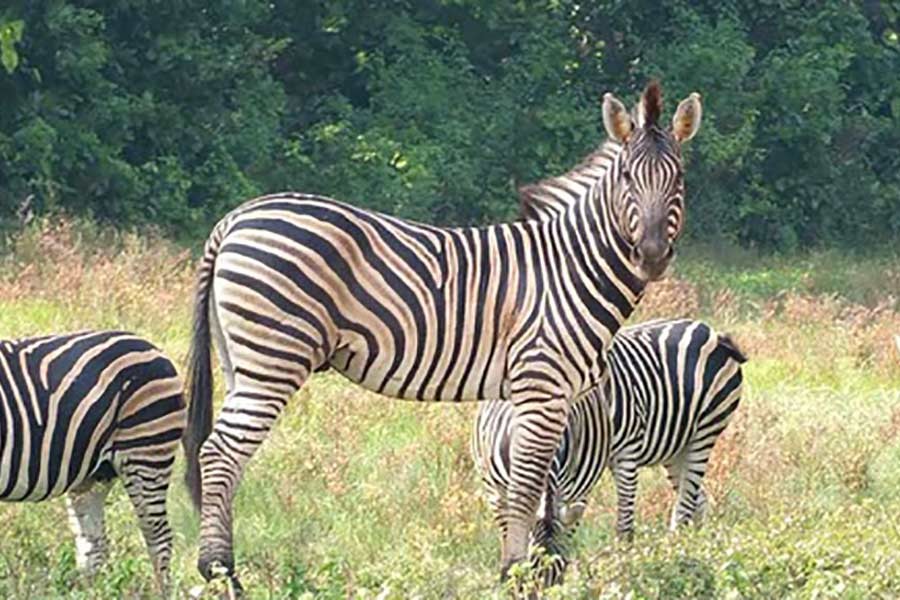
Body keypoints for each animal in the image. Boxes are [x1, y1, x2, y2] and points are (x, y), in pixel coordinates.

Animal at [183, 80, 703, 590]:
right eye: (627, 179)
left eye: (678, 180)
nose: (651, 256)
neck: (571, 267)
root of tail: (235, 218)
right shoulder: (541, 384)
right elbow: (526, 487)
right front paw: (514, 573)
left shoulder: (542, 395)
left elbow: (540, 492)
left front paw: (533, 568)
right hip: (274, 358)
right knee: (220, 453)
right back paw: (221, 573)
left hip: (242, 360)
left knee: (227, 456)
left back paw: (222, 568)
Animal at [472, 318, 746, 584]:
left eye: (558, 574)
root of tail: (711, 332)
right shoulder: (494, 487)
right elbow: (509, 533)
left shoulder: (587, 479)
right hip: (677, 449)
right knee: (697, 502)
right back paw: (694, 555)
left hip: (701, 433)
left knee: (675, 512)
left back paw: (674, 559)